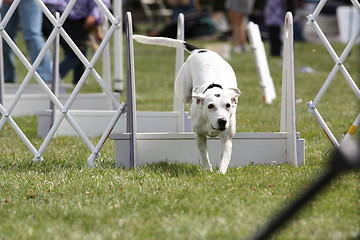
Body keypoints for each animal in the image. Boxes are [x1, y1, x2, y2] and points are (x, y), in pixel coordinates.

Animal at [134, 35, 240, 174]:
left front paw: (220, 172)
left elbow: (225, 157)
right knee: (187, 98)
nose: (222, 121)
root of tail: (199, 50)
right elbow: (203, 154)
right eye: (210, 106)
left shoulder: (227, 138)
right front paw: (208, 169)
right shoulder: (199, 135)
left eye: (228, 105)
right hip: (183, 91)